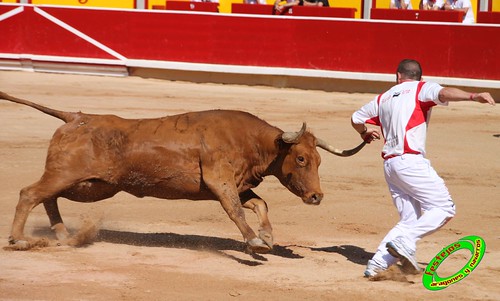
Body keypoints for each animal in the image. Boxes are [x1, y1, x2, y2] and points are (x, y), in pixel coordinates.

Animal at [0, 91, 368, 251]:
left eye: (319, 159)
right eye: (302, 159)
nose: (317, 196)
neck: (252, 142)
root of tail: (75, 116)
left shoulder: (239, 184)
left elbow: (259, 204)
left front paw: (266, 237)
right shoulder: (220, 182)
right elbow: (236, 210)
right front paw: (254, 241)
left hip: (88, 185)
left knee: (48, 198)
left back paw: (63, 236)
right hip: (70, 176)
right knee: (30, 194)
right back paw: (20, 240)